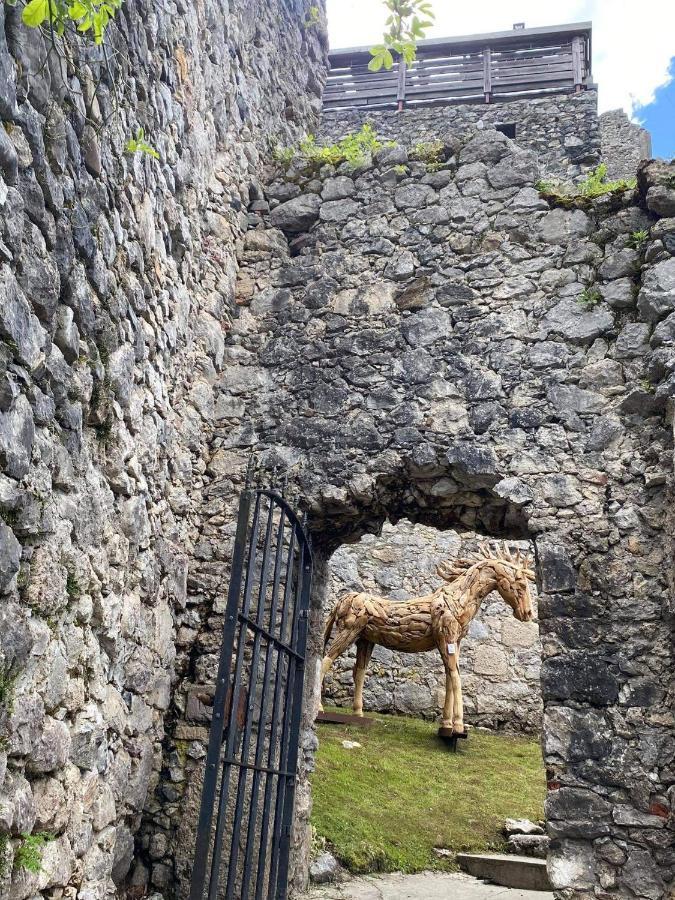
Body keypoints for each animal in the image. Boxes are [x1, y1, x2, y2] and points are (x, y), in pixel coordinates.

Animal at [320, 544, 536, 736]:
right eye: (522, 584)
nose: (527, 614)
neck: (459, 602)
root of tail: (342, 601)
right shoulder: (445, 637)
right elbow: (456, 677)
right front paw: (459, 726)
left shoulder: (455, 642)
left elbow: (449, 677)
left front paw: (447, 724)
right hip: (347, 631)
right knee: (324, 661)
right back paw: (320, 709)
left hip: (365, 640)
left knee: (359, 671)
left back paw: (358, 715)